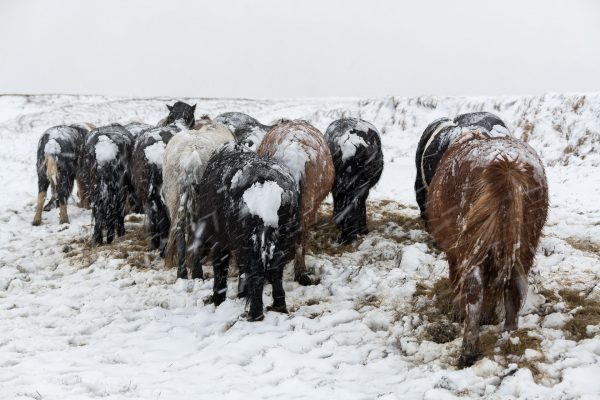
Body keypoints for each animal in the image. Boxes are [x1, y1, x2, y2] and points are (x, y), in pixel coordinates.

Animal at [189, 142, 298, 320]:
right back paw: (279, 305)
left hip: (247, 241)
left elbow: (220, 269)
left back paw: (255, 313)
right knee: (275, 269)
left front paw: (218, 298)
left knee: (255, 271)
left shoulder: (219, 240)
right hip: (282, 239)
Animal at [426, 133, 548, 368]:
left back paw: (468, 351)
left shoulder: (455, 253)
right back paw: (509, 334)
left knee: (474, 291)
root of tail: (508, 168)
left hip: (472, 247)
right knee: (512, 287)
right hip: (523, 246)